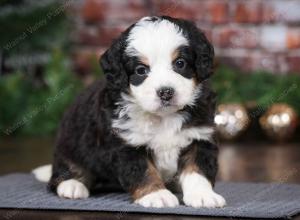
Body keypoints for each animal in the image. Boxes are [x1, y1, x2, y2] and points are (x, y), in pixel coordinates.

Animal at [32, 15, 225, 208]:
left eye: (180, 63)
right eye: (141, 70)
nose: (165, 92)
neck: (163, 117)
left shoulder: (199, 137)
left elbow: (197, 170)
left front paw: (203, 195)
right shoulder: (127, 143)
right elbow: (144, 171)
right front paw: (156, 195)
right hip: (70, 142)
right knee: (63, 171)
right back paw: (72, 185)